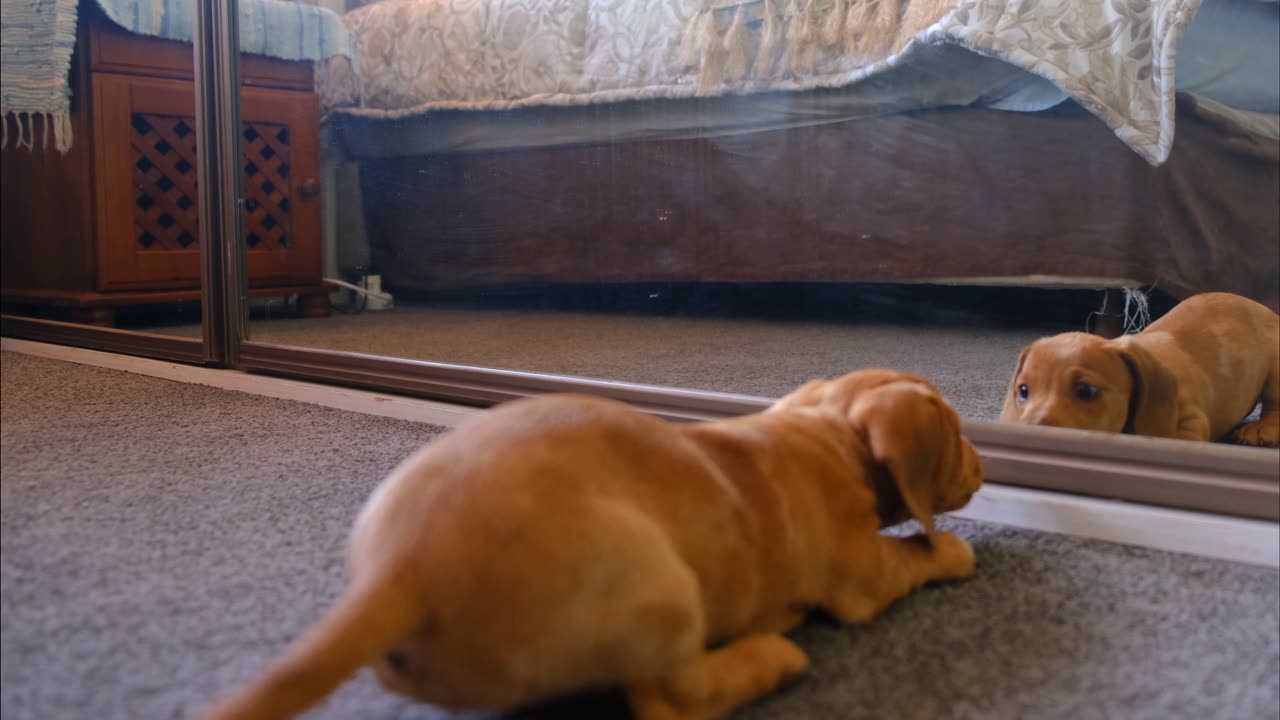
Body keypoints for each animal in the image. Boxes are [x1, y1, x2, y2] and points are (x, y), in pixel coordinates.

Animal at [202, 368, 977, 717]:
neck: (827, 433)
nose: (982, 463)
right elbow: (912, 553)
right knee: (671, 698)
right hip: (663, 590)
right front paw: (954, 551)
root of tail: (401, 570)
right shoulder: (864, 574)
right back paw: (771, 657)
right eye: (958, 430)